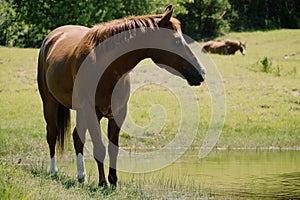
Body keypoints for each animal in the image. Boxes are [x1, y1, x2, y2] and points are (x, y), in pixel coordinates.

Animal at [37, 5, 206, 189]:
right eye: (176, 41)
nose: (201, 72)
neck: (104, 65)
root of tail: (53, 37)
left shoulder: (117, 113)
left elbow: (113, 148)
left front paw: (113, 181)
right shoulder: (91, 111)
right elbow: (99, 148)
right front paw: (103, 183)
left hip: (81, 112)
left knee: (77, 137)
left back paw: (81, 176)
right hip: (50, 103)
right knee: (52, 134)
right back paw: (53, 170)